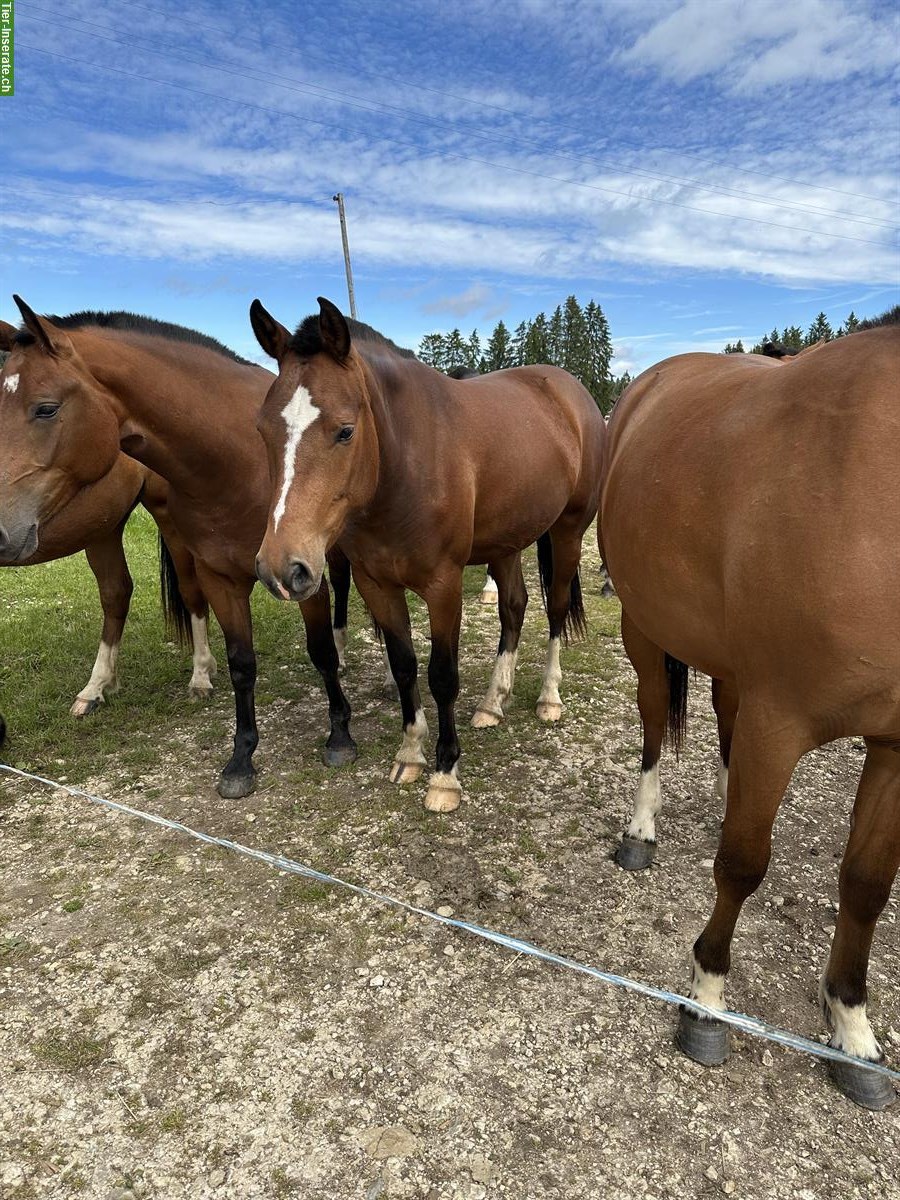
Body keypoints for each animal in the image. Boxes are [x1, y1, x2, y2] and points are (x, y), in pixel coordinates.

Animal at [0, 314, 214, 734]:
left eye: (46, 409)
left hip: (164, 516)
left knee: (190, 590)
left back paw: (201, 675)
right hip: (102, 527)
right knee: (117, 593)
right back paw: (98, 686)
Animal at [252, 295, 607, 811]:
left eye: (345, 431)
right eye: (262, 430)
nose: (282, 568)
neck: (406, 464)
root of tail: (571, 391)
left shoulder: (444, 585)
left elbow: (442, 675)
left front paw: (445, 773)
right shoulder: (376, 584)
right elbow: (404, 667)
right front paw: (411, 753)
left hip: (568, 532)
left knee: (555, 608)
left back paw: (548, 698)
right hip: (505, 541)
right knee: (514, 607)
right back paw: (493, 701)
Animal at [602, 324, 900, 1108]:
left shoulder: (894, 744)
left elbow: (866, 884)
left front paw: (851, 1026)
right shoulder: (780, 720)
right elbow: (742, 864)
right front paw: (706, 999)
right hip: (646, 627)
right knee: (654, 720)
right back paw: (642, 827)